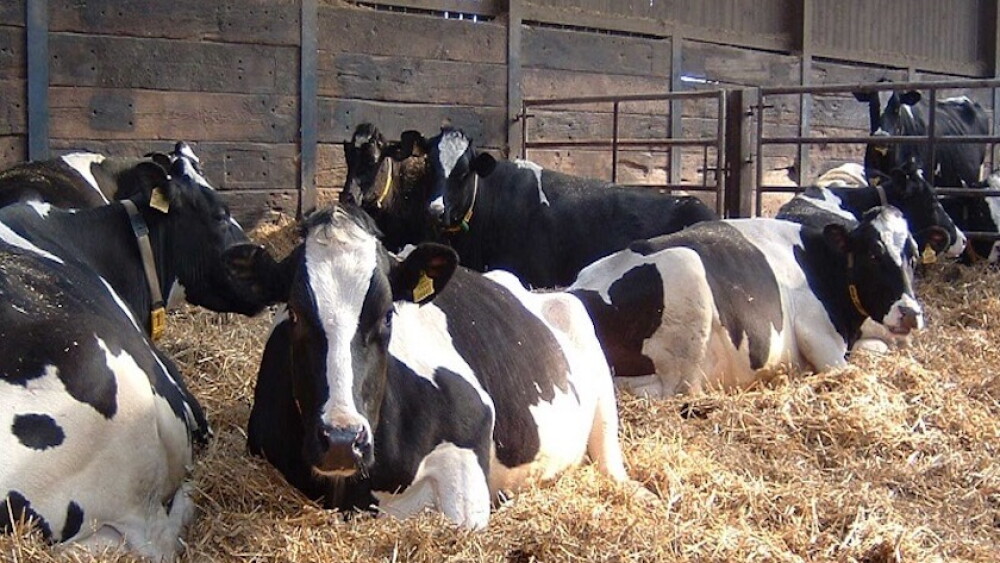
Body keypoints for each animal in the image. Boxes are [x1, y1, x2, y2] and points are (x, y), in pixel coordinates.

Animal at [225, 204, 652, 528]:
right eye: (295, 313)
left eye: (387, 315)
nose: (342, 439)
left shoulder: (469, 435)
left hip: (594, 367)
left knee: (609, 459)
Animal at [568, 207, 937, 398]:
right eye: (873, 255)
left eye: (914, 256)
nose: (910, 313)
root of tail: (579, 292)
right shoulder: (819, 336)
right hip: (686, 270)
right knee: (682, 391)